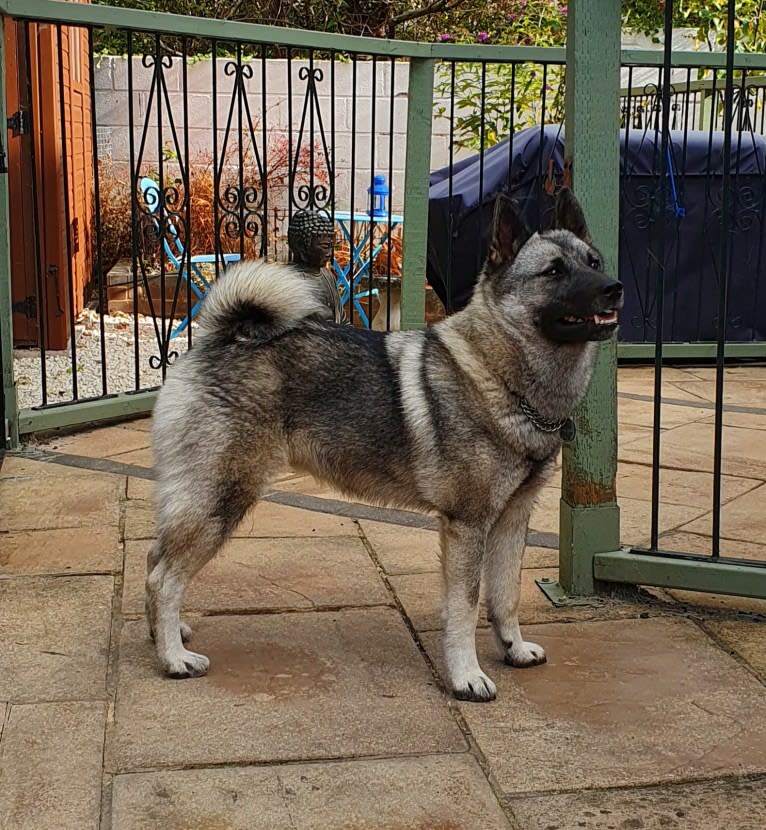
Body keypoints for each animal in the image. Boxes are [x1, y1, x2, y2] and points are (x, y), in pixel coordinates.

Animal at [148, 188, 624, 704]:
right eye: (553, 271)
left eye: (593, 261)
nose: (614, 287)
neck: (498, 375)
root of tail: (223, 337)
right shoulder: (467, 526)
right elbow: (464, 607)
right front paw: (467, 675)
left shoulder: (511, 521)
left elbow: (505, 596)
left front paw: (513, 649)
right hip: (221, 499)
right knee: (163, 577)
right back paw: (173, 658)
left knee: (154, 561)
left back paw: (162, 635)